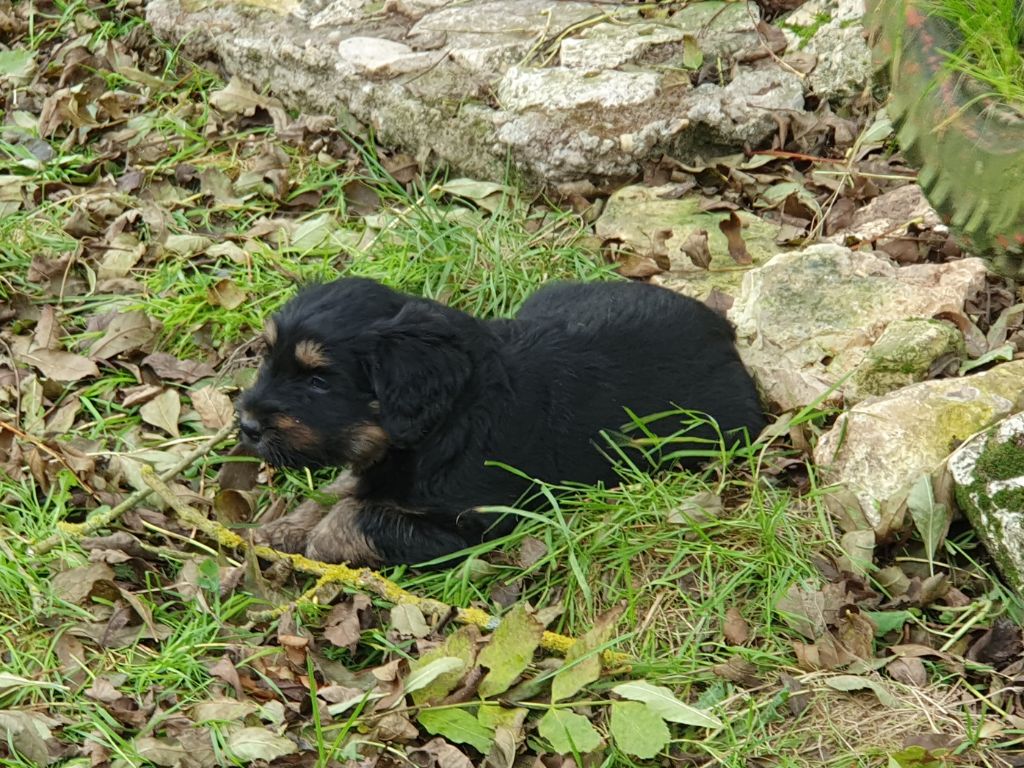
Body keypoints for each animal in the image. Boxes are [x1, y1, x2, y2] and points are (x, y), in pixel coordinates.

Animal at [235, 280, 761, 569]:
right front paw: (282, 528)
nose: (246, 425)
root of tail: (723, 329)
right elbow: (345, 488)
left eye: (319, 381)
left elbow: (360, 513)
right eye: (268, 358)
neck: (448, 418)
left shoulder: (471, 526)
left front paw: (317, 538)